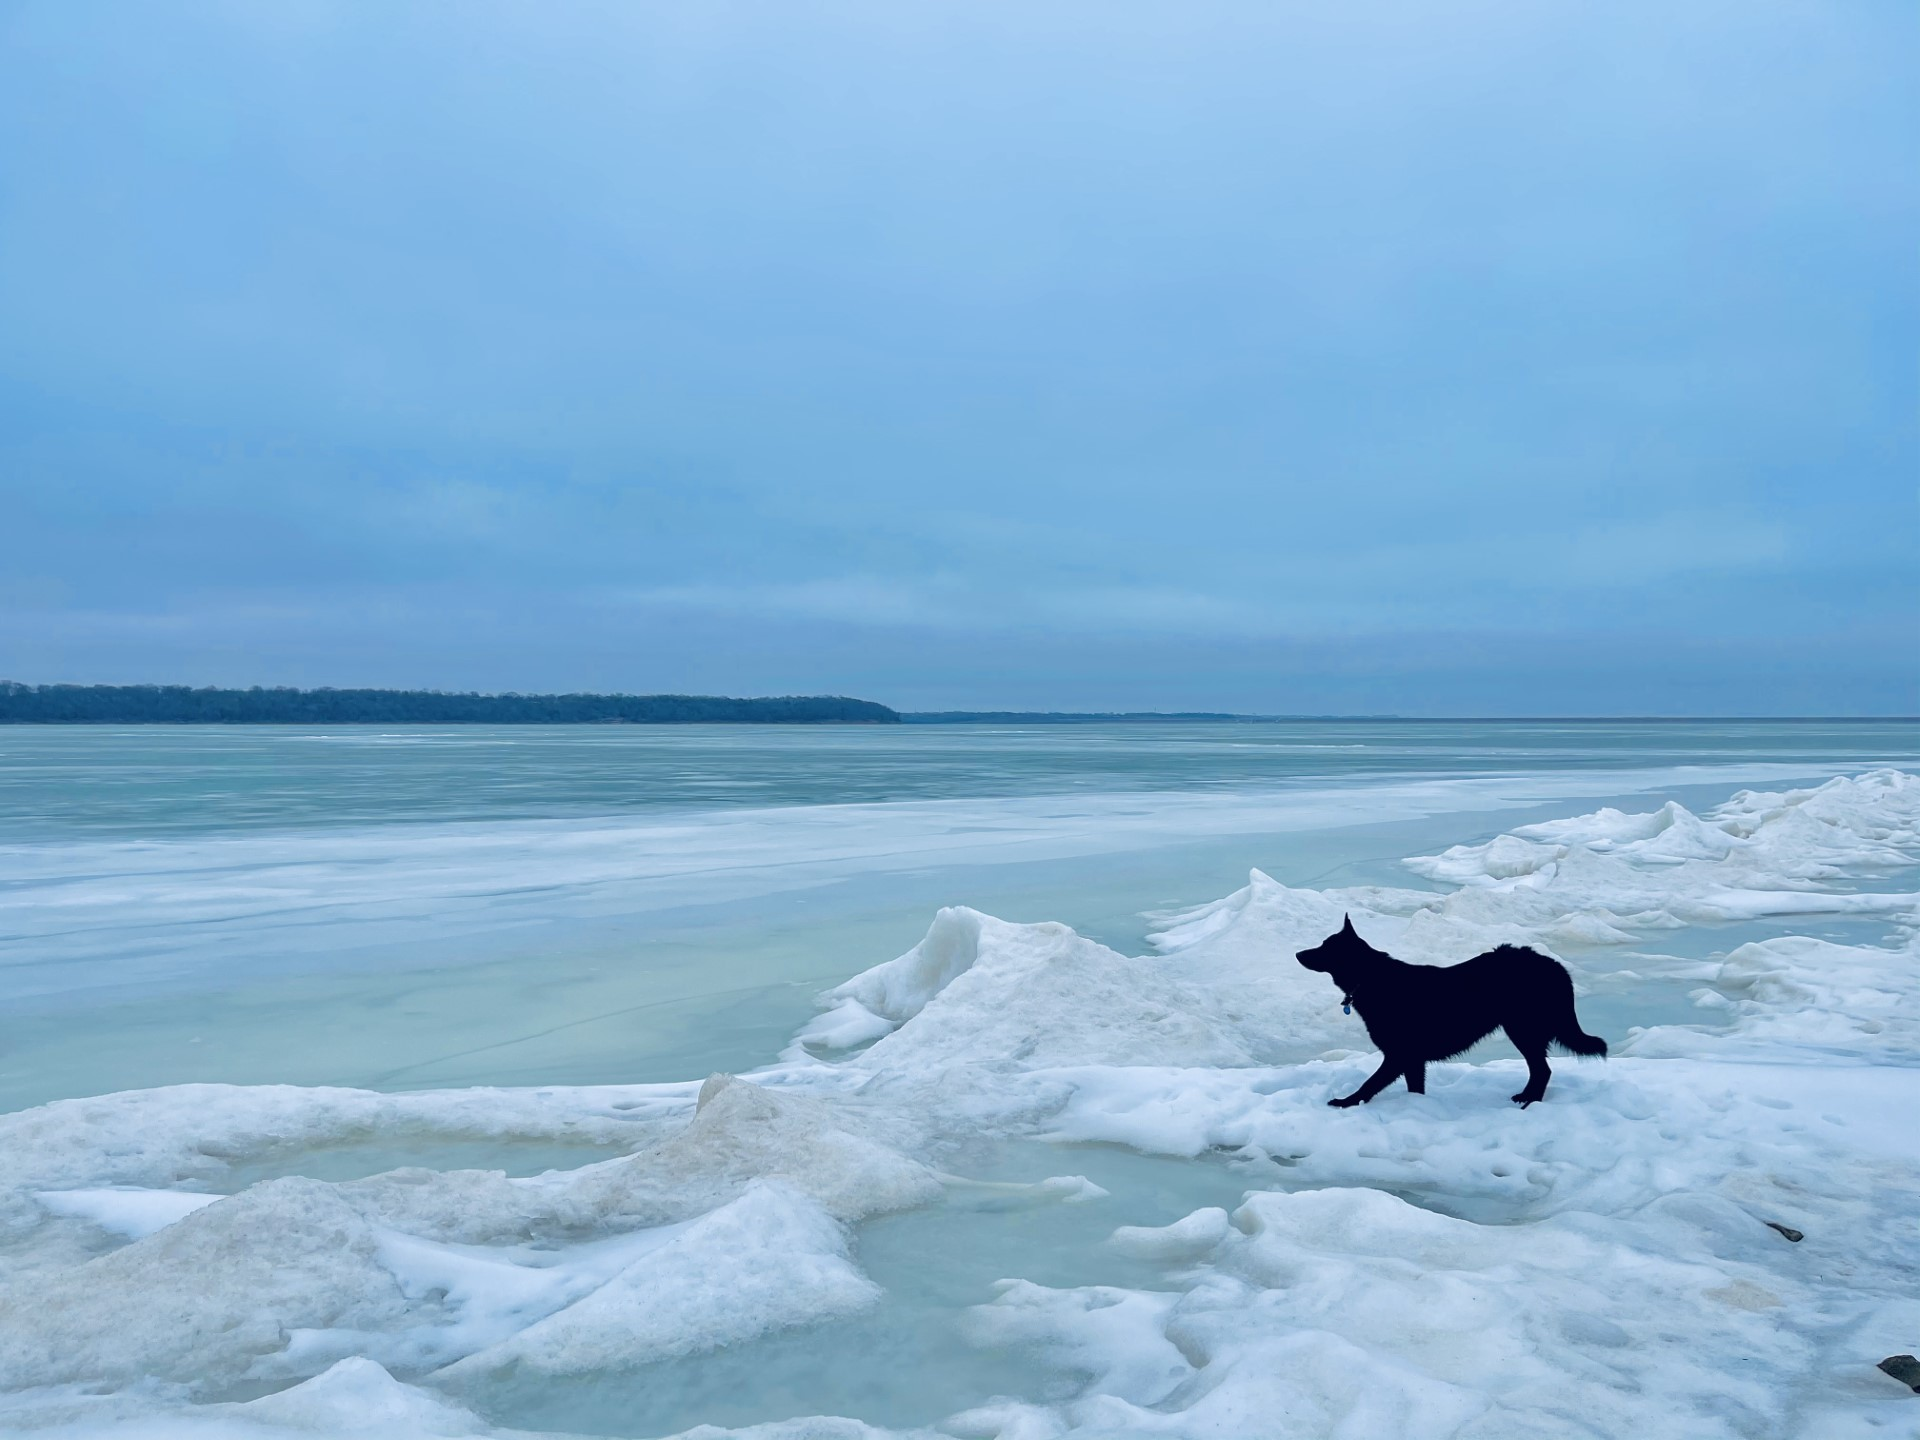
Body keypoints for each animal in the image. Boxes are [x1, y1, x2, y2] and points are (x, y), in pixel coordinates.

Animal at [1290, 917, 1605, 1113]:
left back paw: (1530, 1103)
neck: (1371, 978)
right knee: (1540, 1069)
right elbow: (1414, 1089)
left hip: (1522, 1030)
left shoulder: (1398, 1055)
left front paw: (1346, 1102)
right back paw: (1525, 1097)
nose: (1297, 954)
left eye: (1325, 947)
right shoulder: (1412, 1061)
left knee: (1542, 1070)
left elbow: (1369, 1083)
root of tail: (1554, 966)